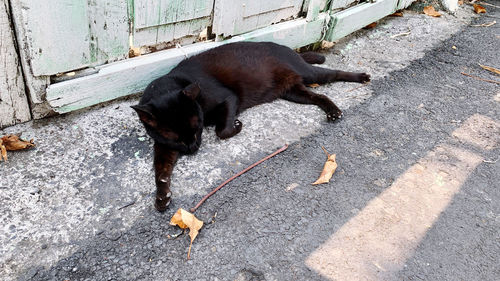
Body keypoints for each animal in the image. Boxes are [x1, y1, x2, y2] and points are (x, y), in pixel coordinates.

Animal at [131, 40, 370, 209]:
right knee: (319, 96)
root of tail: (289, 49)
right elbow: (160, 169)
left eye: (197, 129)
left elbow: (221, 130)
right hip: (293, 92)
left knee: (333, 73)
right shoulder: (164, 146)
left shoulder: (229, 98)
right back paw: (332, 111)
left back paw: (360, 79)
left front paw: (237, 125)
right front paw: (162, 196)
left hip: (309, 73)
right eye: (177, 138)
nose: (192, 148)